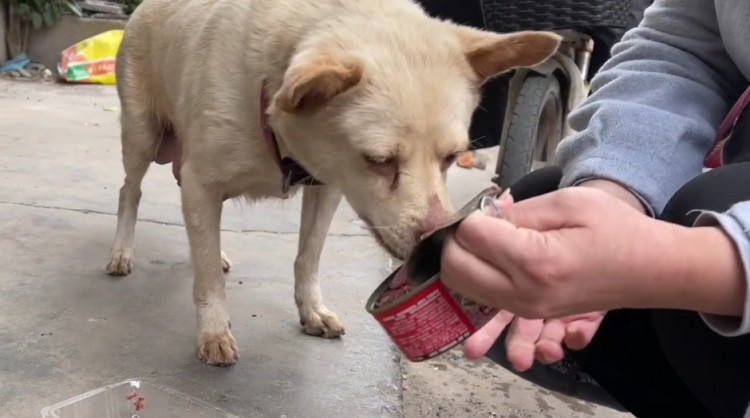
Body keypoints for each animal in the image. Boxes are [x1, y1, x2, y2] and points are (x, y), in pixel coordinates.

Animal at [107, 0, 564, 366]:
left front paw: (311, 310)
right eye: (379, 161)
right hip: (142, 137)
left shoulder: (326, 188)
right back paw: (121, 251)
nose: (435, 242)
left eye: (452, 157)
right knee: (130, 191)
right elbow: (207, 279)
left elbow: (307, 257)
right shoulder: (203, 183)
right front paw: (214, 330)